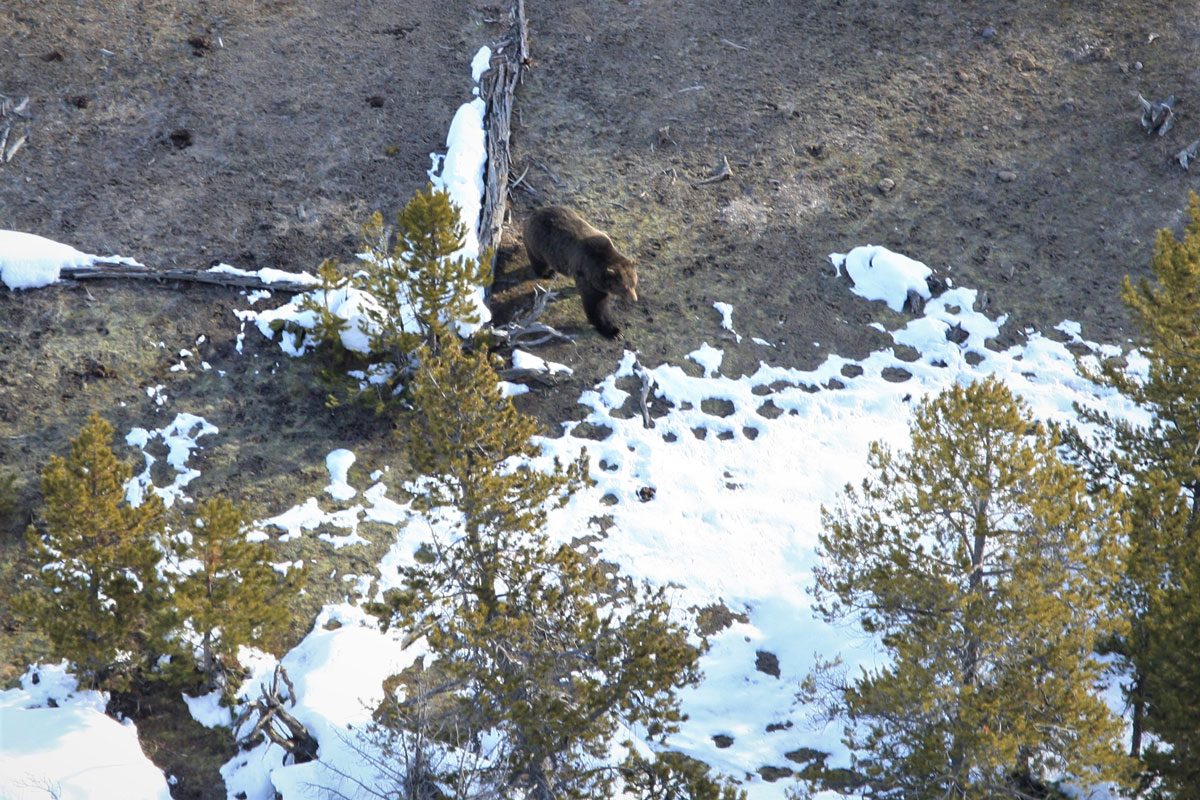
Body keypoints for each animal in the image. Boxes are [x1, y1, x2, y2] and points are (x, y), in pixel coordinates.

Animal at [524, 206, 639, 339]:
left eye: (634, 284)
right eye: (624, 287)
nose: (634, 299)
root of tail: (534, 213)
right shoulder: (587, 274)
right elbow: (596, 305)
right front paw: (613, 331)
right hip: (538, 242)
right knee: (538, 260)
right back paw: (548, 273)